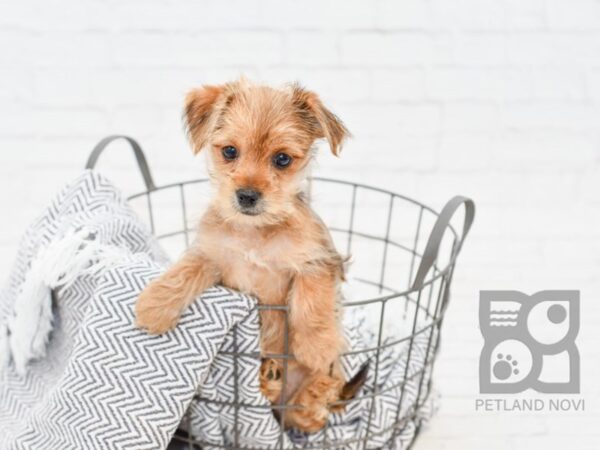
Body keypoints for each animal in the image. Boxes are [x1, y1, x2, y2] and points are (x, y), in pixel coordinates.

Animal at [135, 78, 352, 432]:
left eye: (282, 159)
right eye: (229, 151)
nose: (247, 195)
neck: (255, 233)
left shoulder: (318, 257)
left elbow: (311, 300)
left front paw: (317, 345)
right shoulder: (212, 255)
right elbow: (184, 271)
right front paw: (154, 307)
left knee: (311, 409)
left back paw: (306, 389)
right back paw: (269, 377)